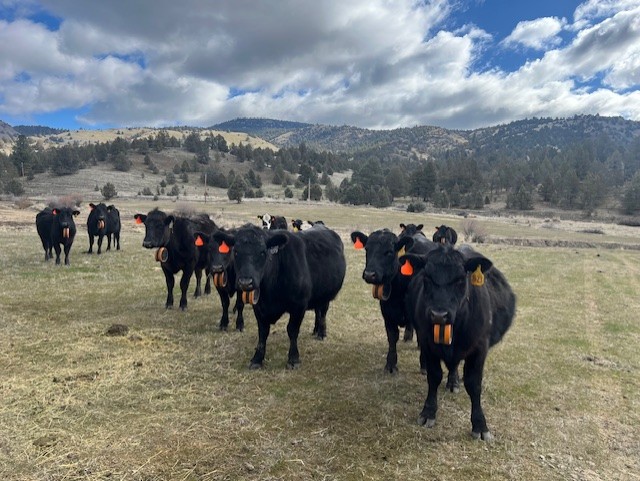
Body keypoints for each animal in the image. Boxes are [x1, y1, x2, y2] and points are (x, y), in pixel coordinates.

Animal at [213, 223, 346, 369]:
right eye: (235, 252)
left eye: (263, 252)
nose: (245, 282)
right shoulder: (258, 306)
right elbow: (263, 332)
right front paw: (257, 359)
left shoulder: (299, 306)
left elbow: (292, 330)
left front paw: (293, 359)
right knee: (318, 311)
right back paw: (315, 330)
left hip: (326, 296)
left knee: (322, 313)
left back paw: (321, 333)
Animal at [350, 226, 440, 375]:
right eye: (367, 249)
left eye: (389, 252)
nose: (369, 274)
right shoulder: (388, 314)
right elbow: (392, 338)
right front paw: (390, 364)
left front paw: (425, 365)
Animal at [400, 244, 516, 440]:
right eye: (426, 277)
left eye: (461, 279)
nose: (439, 315)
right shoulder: (427, 343)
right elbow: (434, 377)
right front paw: (428, 412)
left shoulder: (479, 348)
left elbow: (474, 384)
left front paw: (480, 425)